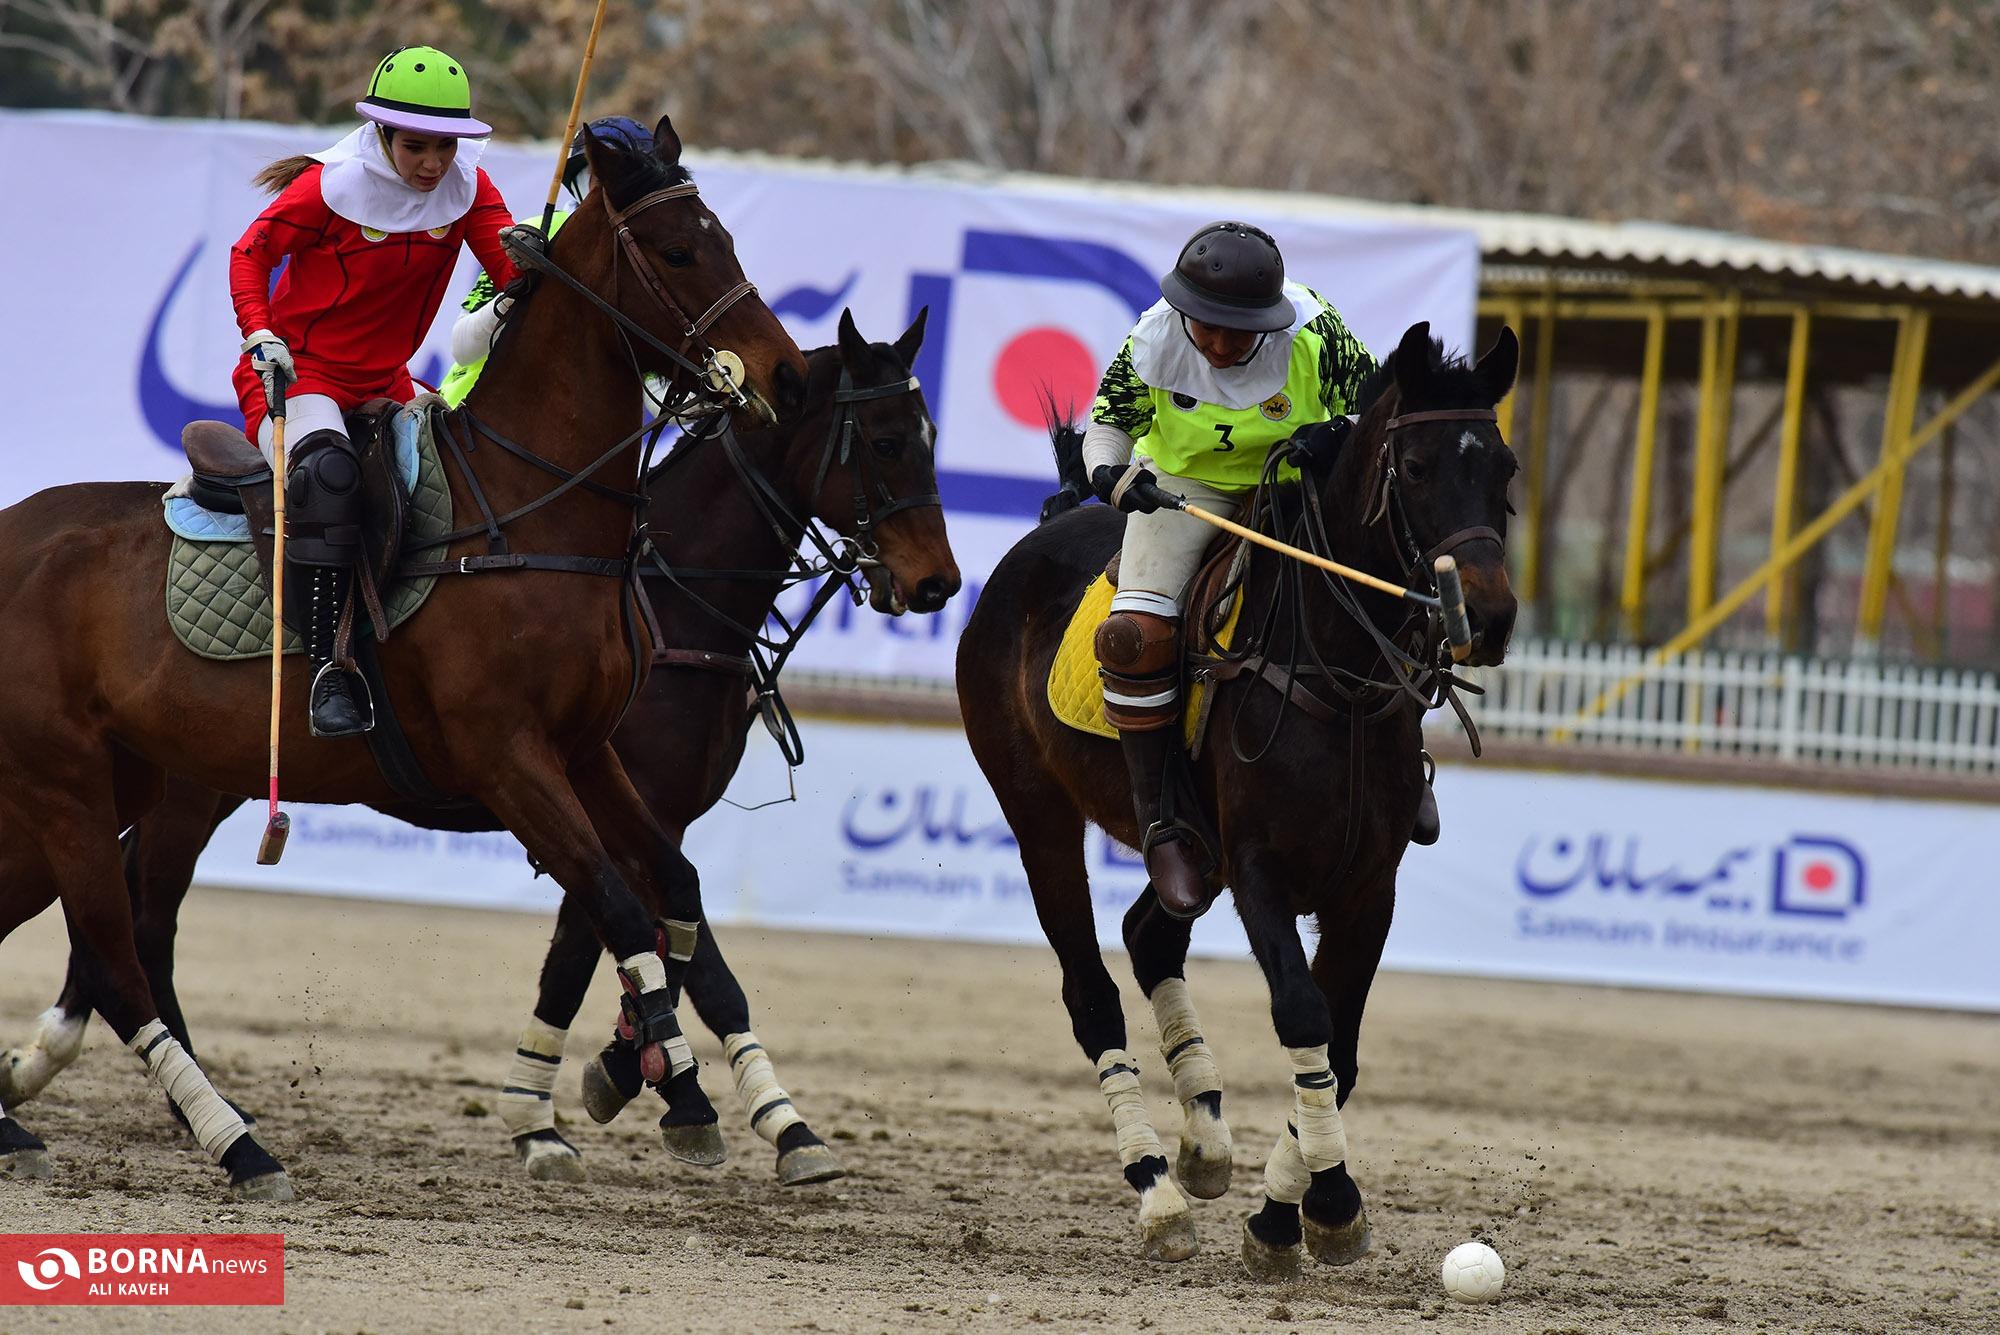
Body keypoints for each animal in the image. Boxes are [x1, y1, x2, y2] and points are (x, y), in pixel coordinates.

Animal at [0, 118, 932, 1202]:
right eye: (677, 250)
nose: (938, 581)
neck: (542, 520)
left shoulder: (590, 758)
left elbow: (674, 905)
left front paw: (708, 1097)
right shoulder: (510, 760)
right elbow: (617, 918)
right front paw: (658, 1094)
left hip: (113, 781)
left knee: (97, 929)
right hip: (75, 781)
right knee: (122, 947)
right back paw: (223, 1135)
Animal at [955, 322, 1519, 1274]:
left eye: (1506, 467)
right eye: (1415, 468)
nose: (1490, 613)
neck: (1342, 678)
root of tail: (1047, 526)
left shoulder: (1369, 885)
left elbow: (1341, 1043)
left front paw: (1288, 1210)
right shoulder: (1261, 871)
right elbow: (1302, 1010)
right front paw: (1326, 1202)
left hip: (1195, 851)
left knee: (1153, 929)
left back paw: (1206, 1142)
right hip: (1039, 813)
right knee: (1090, 991)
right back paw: (1157, 1189)